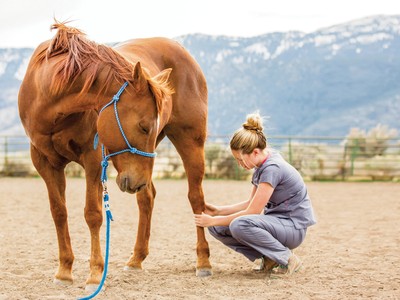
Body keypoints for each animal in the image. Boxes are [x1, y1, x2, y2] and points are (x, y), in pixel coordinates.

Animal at [18, 21, 212, 290]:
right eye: (144, 127)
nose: (136, 181)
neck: (49, 100)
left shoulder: (92, 160)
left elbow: (93, 214)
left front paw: (95, 275)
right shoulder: (45, 163)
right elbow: (59, 212)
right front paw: (64, 270)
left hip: (190, 143)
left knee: (196, 199)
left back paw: (203, 261)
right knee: (147, 197)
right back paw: (136, 259)